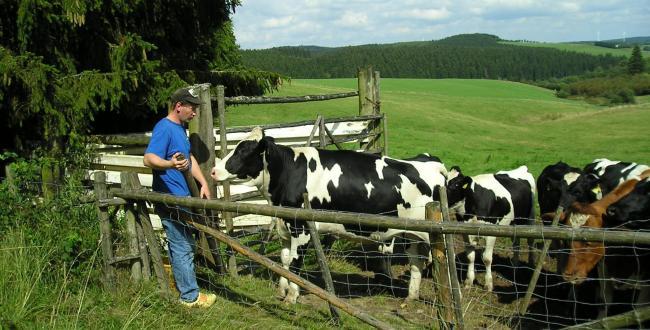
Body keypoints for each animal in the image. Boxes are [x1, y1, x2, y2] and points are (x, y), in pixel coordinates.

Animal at [210, 127, 448, 302]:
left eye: (242, 150)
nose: (213, 170)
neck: (289, 171)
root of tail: (431, 162)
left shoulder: (302, 229)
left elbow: (294, 263)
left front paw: (292, 297)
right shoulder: (285, 228)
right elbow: (284, 261)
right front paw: (282, 290)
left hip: (436, 234)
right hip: (413, 233)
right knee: (416, 263)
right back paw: (410, 297)